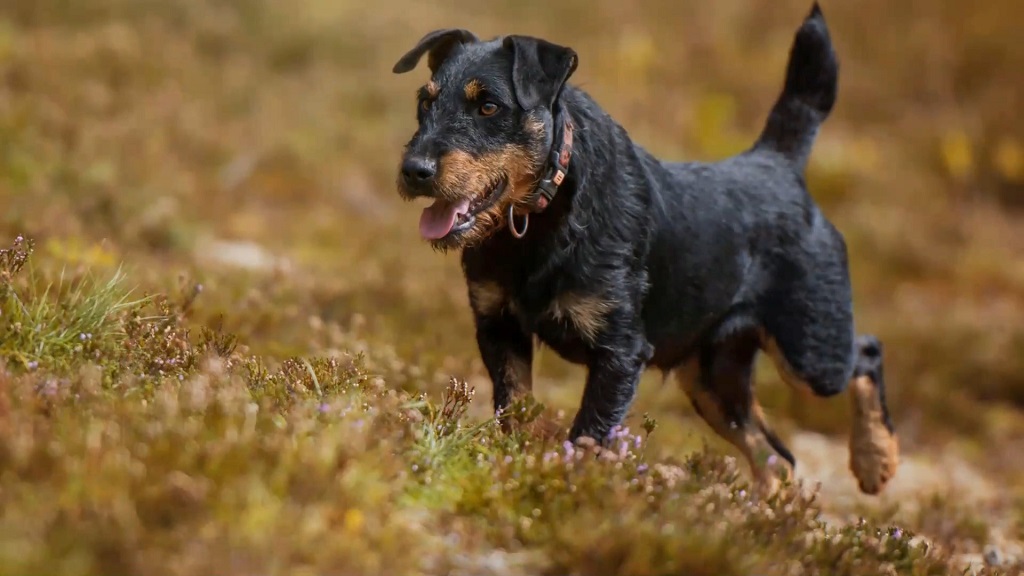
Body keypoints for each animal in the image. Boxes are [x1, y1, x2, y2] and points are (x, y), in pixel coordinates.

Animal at [389, 2, 897, 494]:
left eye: (489, 106)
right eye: (424, 101)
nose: (414, 170)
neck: (541, 218)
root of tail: (779, 162)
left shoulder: (620, 353)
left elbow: (589, 434)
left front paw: (568, 487)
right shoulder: (499, 328)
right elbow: (515, 409)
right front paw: (514, 465)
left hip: (811, 350)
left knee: (866, 352)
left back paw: (874, 460)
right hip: (713, 378)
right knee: (777, 455)